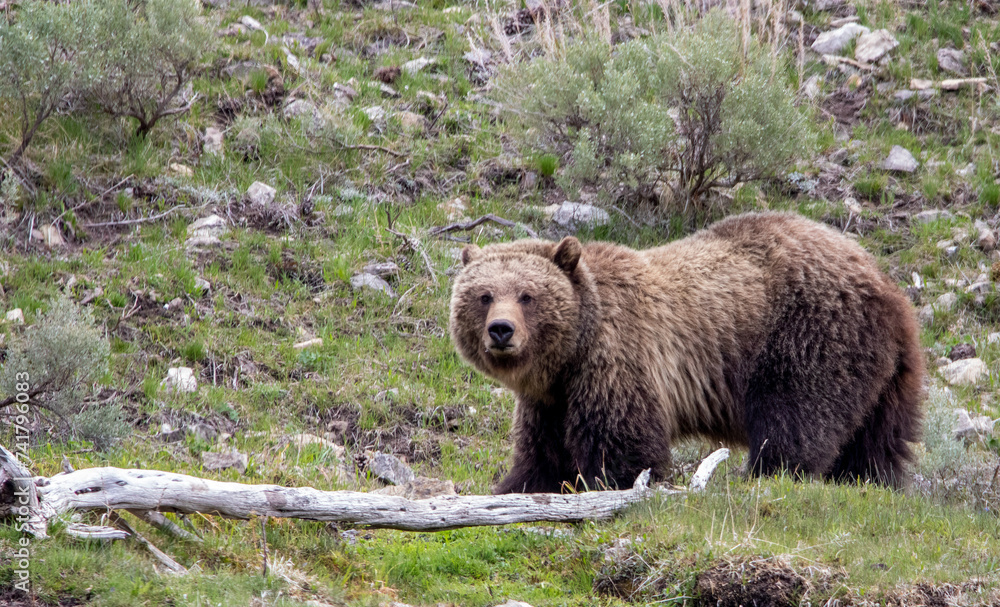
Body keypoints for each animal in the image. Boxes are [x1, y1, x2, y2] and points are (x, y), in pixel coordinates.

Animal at [448, 212, 925, 494]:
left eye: (527, 295)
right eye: (484, 295)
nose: (502, 330)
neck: (570, 355)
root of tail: (883, 280)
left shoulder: (619, 359)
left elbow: (624, 443)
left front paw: (617, 483)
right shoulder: (549, 400)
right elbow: (542, 455)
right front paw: (514, 486)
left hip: (809, 336)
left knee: (796, 418)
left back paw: (765, 473)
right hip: (884, 373)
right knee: (878, 438)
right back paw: (870, 479)